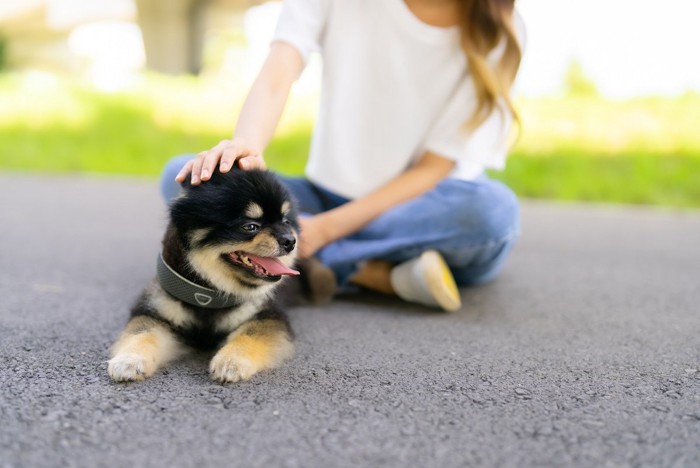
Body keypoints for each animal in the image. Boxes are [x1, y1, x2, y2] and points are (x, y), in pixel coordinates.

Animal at [108, 168, 300, 384]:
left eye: (285, 222)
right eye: (251, 226)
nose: (290, 241)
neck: (210, 293)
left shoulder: (267, 316)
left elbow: (249, 335)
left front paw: (232, 361)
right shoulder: (155, 310)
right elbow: (141, 333)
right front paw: (128, 360)